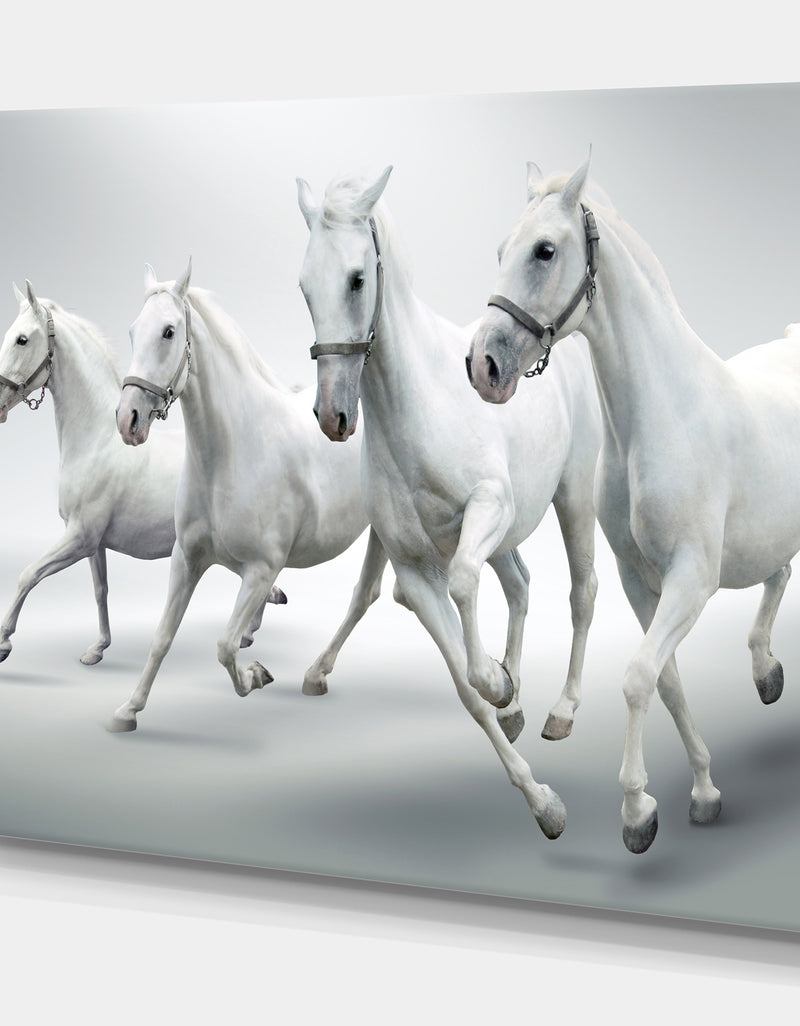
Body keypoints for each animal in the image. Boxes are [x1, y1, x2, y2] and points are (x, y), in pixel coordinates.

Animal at [0, 282, 280, 667]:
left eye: (22, 339)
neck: (96, 440)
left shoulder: (79, 537)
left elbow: (28, 575)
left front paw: (4, 641)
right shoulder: (94, 543)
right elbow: (100, 590)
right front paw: (98, 648)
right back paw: (253, 628)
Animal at [109, 261, 384, 731]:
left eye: (168, 332)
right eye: (131, 331)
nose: (129, 420)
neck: (230, 454)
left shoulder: (261, 567)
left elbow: (224, 646)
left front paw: (255, 676)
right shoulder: (186, 559)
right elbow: (163, 636)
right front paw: (128, 709)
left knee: (364, 595)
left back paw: (315, 674)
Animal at [296, 167, 602, 839]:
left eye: (358, 278)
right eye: (303, 286)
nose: (333, 416)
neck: (418, 405)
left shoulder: (485, 511)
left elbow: (464, 587)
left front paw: (500, 685)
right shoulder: (414, 568)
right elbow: (464, 687)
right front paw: (539, 794)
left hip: (572, 498)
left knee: (581, 591)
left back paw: (560, 711)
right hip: (509, 536)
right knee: (520, 584)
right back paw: (517, 700)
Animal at [468, 155, 800, 853]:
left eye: (545, 250)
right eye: (503, 249)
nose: (483, 365)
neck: (661, 417)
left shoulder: (691, 580)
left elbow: (637, 676)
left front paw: (635, 812)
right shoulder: (639, 580)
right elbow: (665, 680)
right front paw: (701, 791)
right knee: (780, 571)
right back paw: (765, 671)